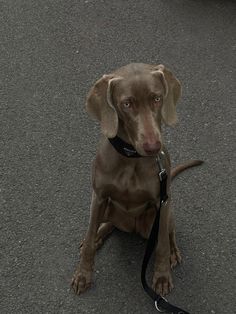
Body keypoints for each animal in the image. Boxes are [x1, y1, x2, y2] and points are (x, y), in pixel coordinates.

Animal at [71, 63, 201, 296]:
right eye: (127, 104)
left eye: (157, 98)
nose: (153, 147)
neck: (131, 159)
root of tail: (130, 225)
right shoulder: (98, 196)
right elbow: (90, 236)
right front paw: (83, 275)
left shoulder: (162, 202)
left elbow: (161, 244)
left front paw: (162, 276)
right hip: (109, 208)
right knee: (107, 225)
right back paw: (97, 235)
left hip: (162, 215)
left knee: (169, 233)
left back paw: (173, 252)